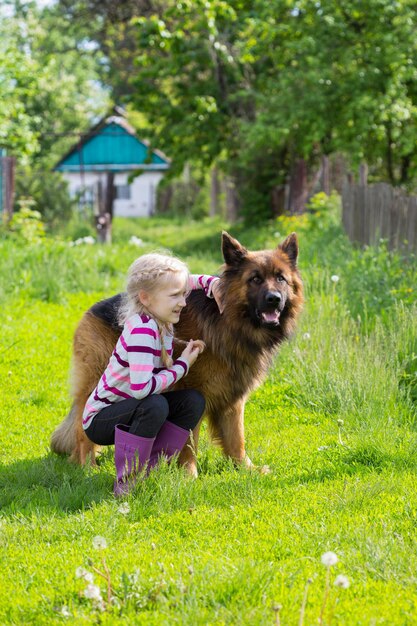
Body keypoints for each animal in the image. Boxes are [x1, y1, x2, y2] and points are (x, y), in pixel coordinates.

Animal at [51, 233, 302, 472]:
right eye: (255, 279)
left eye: (281, 278)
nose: (274, 299)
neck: (228, 321)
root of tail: (92, 310)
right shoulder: (198, 393)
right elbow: (189, 442)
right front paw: (189, 474)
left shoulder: (232, 397)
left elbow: (236, 439)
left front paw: (246, 469)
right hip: (95, 381)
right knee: (82, 429)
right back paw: (88, 466)